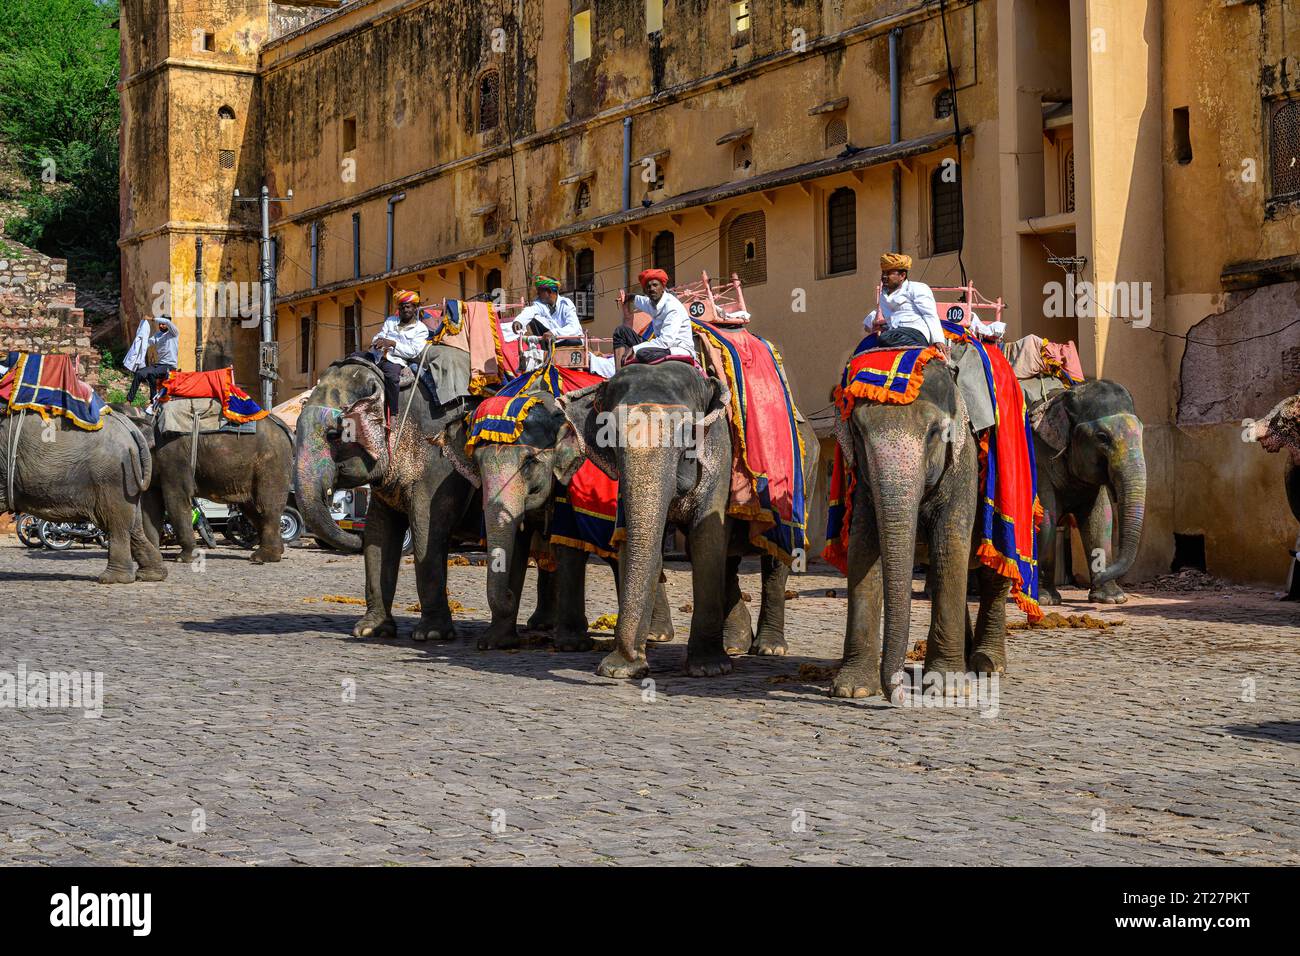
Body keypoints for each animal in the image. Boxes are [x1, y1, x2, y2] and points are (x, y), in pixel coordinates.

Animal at [0, 411, 167, 582]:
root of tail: (130, 427)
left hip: (114, 477)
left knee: (117, 523)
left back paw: (112, 579)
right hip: (128, 480)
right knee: (133, 525)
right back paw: (151, 575)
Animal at [113, 403, 295, 564]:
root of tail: (284, 428)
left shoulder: (174, 457)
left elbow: (175, 498)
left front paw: (183, 559)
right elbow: (150, 506)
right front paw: (152, 557)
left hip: (272, 462)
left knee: (266, 506)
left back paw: (263, 557)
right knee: (251, 509)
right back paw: (277, 551)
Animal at [295, 351, 483, 642]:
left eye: (333, 434)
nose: (353, 536)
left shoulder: (441, 463)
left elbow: (426, 529)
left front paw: (431, 635)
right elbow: (378, 533)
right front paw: (370, 630)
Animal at [559, 358, 811, 681]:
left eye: (687, 434)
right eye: (609, 436)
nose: (630, 659)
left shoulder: (719, 450)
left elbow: (706, 536)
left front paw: (708, 669)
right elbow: (634, 540)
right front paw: (621, 669)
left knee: (775, 560)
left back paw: (768, 648)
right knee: (728, 561)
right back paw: (735, 643)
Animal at [1024, 377, 1149, 600]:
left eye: (1142, 431)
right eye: (1102, 437)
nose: (1099, 576)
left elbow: (1100, 517)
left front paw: (1111, 598)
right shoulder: (1038, 461)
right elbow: (1046, 515)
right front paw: (1046, 599)